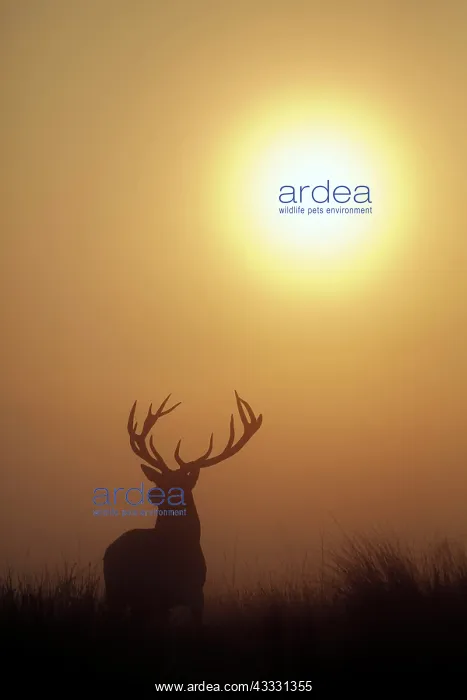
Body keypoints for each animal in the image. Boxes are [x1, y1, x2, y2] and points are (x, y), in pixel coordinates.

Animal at [103, 390, 262, 628]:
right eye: (159, 482)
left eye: (180, 485)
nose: (154, 494)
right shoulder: (156, 597)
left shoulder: (197, 595)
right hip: (115, 592)